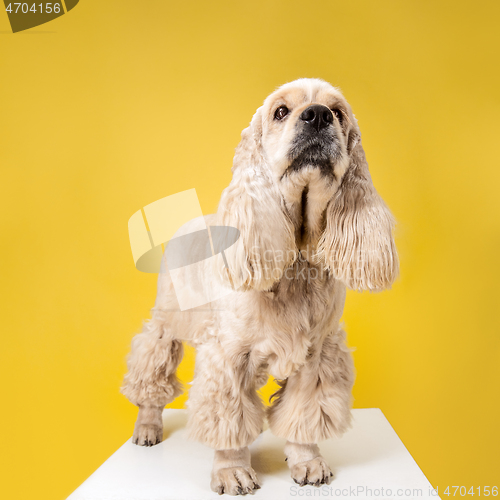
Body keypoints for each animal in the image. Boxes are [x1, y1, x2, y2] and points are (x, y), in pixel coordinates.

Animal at [121, 76, 398, 494]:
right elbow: (229, 421)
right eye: (281, 111)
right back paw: (148, 427)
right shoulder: (229, 355)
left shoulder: (315, 355)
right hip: (166, 323)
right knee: (151, 373)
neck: (296, 261)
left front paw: (306, 461)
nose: (318, 115)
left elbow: (302, 414)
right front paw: (232, 470)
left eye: (338, 112)